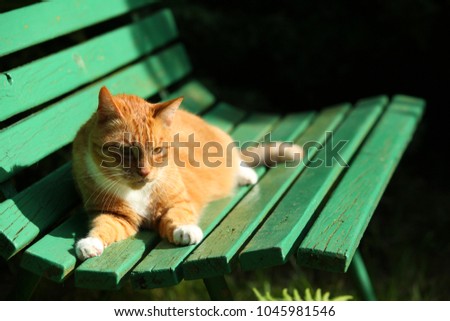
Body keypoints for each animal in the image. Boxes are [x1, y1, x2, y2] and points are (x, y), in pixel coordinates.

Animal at [74, 86, 302, 258]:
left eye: (157, 150)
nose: (145, 172)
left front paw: (185, 230)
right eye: (127, 151)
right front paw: (90, 243)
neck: (137, 192)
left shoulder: (179, 201)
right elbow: (104, 227)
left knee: (237, 161)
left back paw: (246, 175)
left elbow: (177, 215)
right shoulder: (115, 215)